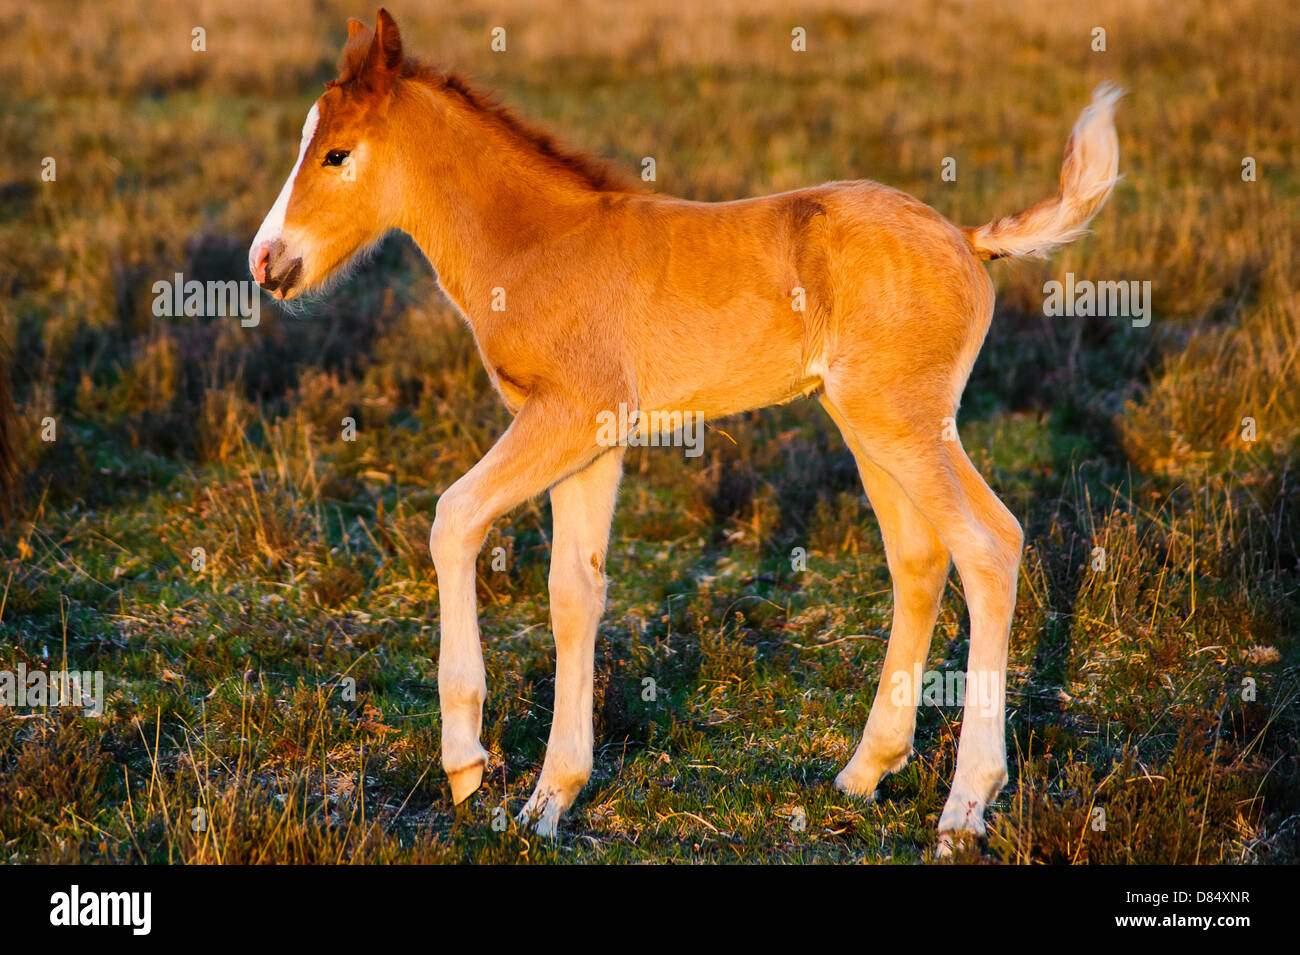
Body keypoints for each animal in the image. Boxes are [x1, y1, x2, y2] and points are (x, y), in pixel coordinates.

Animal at [248, 5, 1123, 841]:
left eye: (336, 155)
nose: (266, 262)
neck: (536, 243)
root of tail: (967, 239)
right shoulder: (589, 440)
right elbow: (575, 591)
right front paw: (550, 799)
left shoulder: (569, 414)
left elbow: (454, 518)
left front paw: (466, 761)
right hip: (869, 423)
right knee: (919, 558)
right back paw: (863, 771)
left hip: (906, 421)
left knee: (989, 545)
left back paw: (966, 803)